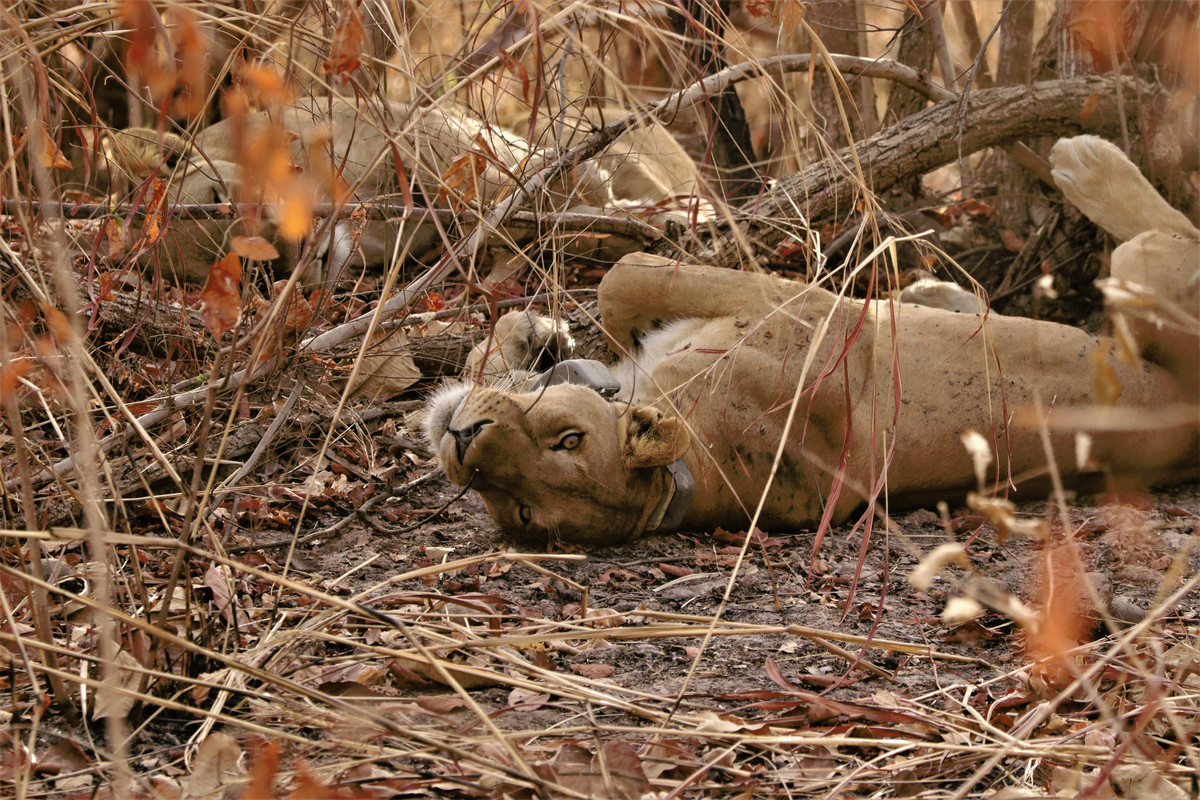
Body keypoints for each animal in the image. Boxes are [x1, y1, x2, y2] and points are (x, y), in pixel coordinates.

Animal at [425, 135, 1200, 546]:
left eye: (569, 441)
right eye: (519, 509)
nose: (463, 442)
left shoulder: (789, 301)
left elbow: (619, 280)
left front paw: (547, 335)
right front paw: (533, 337)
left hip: (1143, 271)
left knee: (1175, 231)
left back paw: (1087, 161)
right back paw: (936, 293)